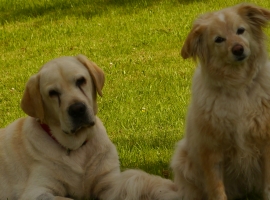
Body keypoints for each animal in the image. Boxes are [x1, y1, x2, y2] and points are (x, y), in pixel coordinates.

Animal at [0, 54, 179, 200]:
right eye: (52, 93)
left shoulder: (108, 183)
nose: (77, 109)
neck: (77, 148)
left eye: (81, 81)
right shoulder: (37, 191)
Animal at [171, 3, 270, 200]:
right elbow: (217, 190)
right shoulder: (211, 150)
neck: (239, 86)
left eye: (241, 30)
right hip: (182, 160)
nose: (238, 49)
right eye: (219, 39)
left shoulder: (266, 144)